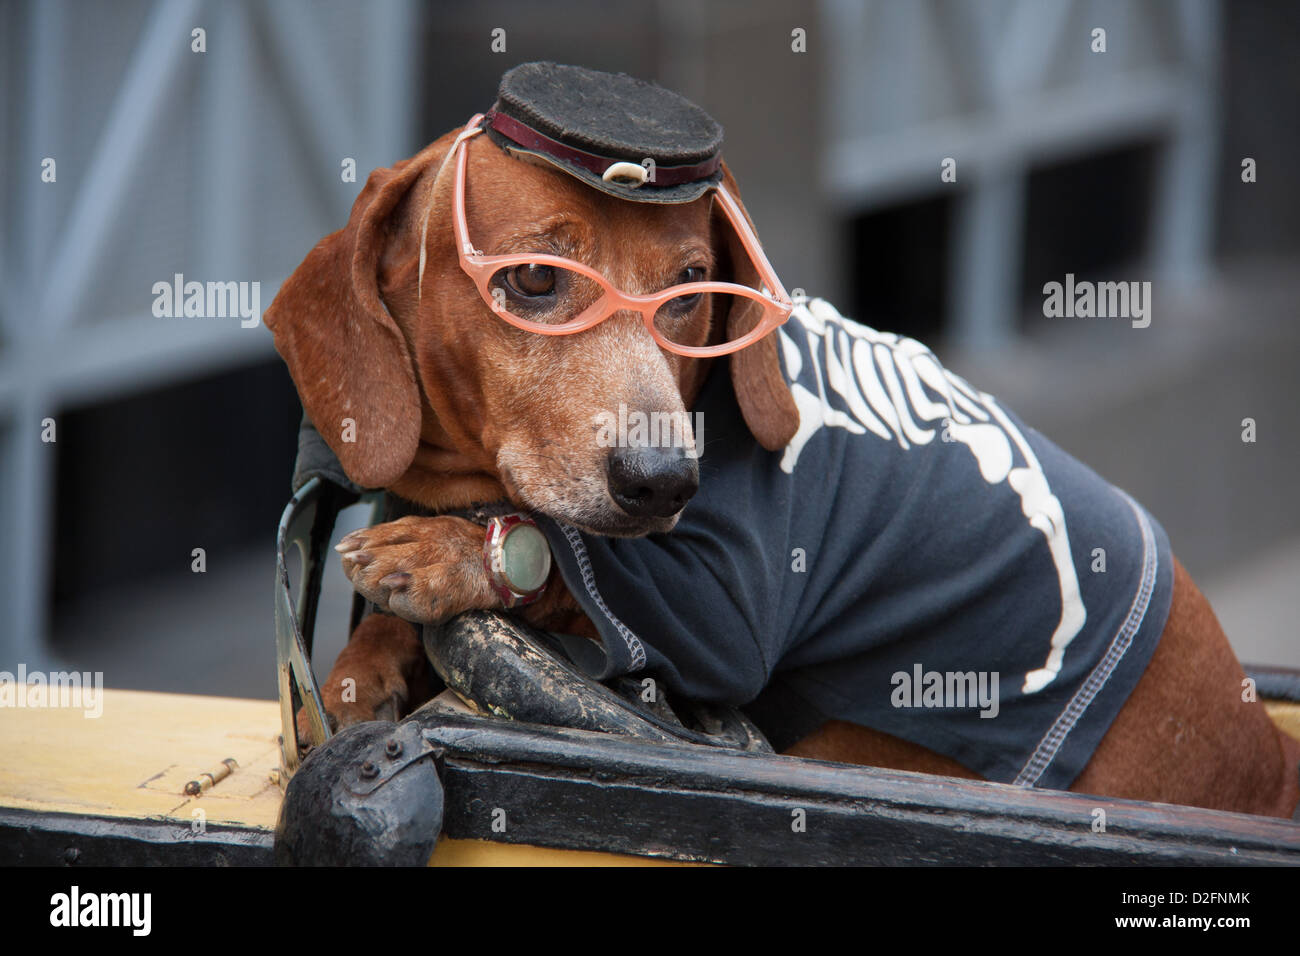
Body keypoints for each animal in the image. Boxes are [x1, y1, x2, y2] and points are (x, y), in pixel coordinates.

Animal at [266, 115, 1300, 822]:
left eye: (693, 292)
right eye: (531, 279)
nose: (664, 483)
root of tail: (1261, 753)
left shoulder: (727, 608)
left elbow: (566, 566)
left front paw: (447, 556)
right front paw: (367, 660)